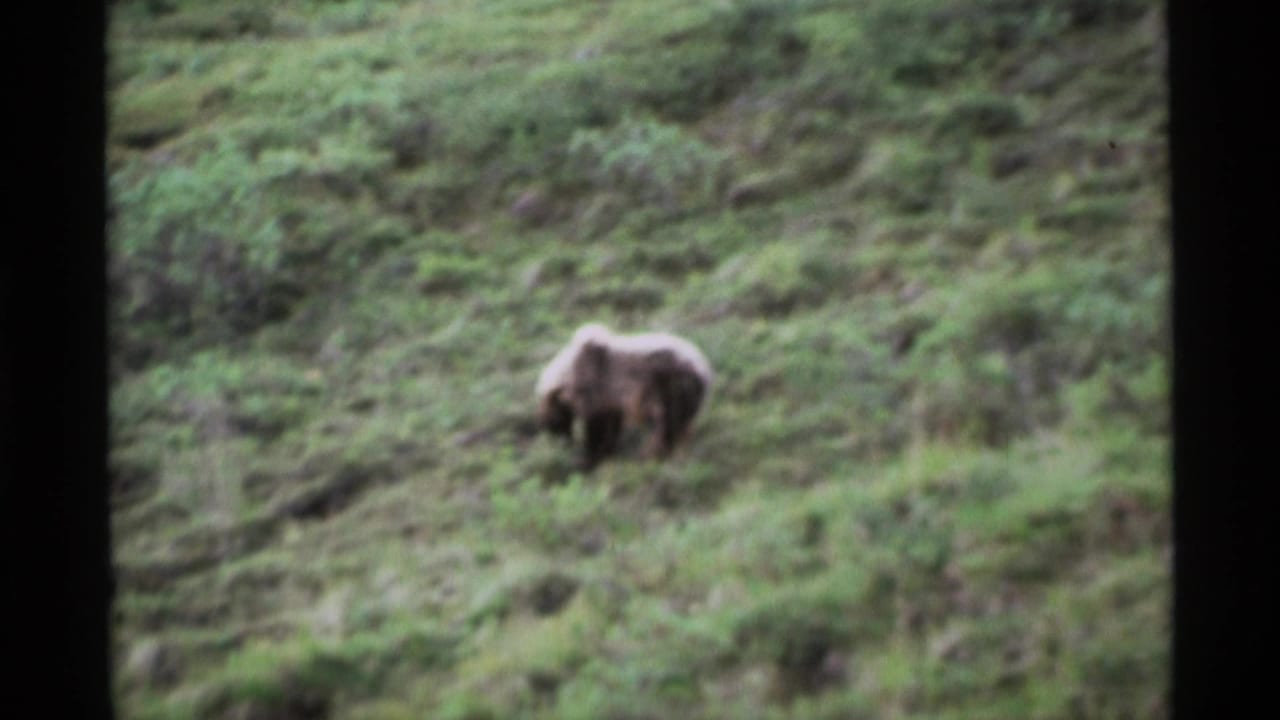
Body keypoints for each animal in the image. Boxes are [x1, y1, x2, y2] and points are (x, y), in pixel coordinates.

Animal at [536, 323, 713, 469]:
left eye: (553, 423)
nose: (560, 443)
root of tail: (704, 371)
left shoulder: (595, 388)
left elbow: (597, 426)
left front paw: (590, 457)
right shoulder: (610, 401)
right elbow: (611, 425)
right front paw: (606, 451)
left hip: (670, 385)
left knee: (668, 422)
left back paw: (651, 454)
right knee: (677, 425)